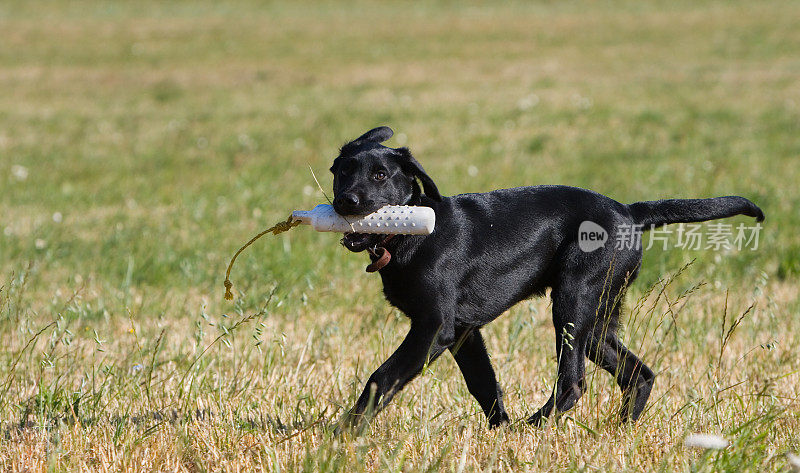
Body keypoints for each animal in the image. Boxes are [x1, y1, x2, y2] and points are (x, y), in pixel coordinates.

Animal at [330, 125, 764, 428]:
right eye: (340, 171)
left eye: (381, 175)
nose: (345, 201)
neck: (410, 237)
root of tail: (629, 211)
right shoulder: (464, 331)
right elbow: (484, 385)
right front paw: (500, 433)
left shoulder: (435, 326)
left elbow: (381, 377)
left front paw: (343, 434)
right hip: (598, 320)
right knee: (638, 374)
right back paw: (618, 431)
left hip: (573, 302)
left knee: (573, 382)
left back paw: (533, 426)